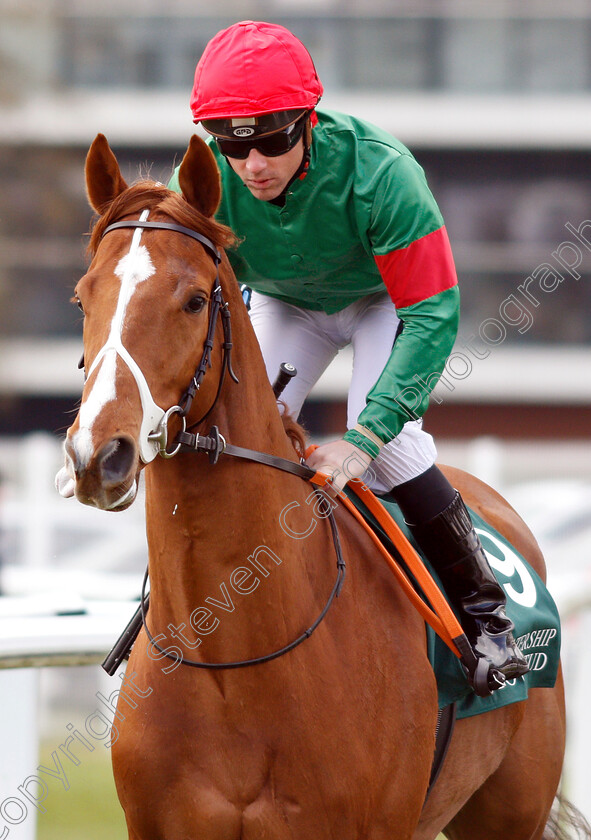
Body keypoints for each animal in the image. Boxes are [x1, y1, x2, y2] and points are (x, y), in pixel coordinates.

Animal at [59, 135, 568, 836]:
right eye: (83, 298)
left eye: (194, 300)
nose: (99, 454)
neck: (235, 657)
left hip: (510, 809)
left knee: (404, 451)